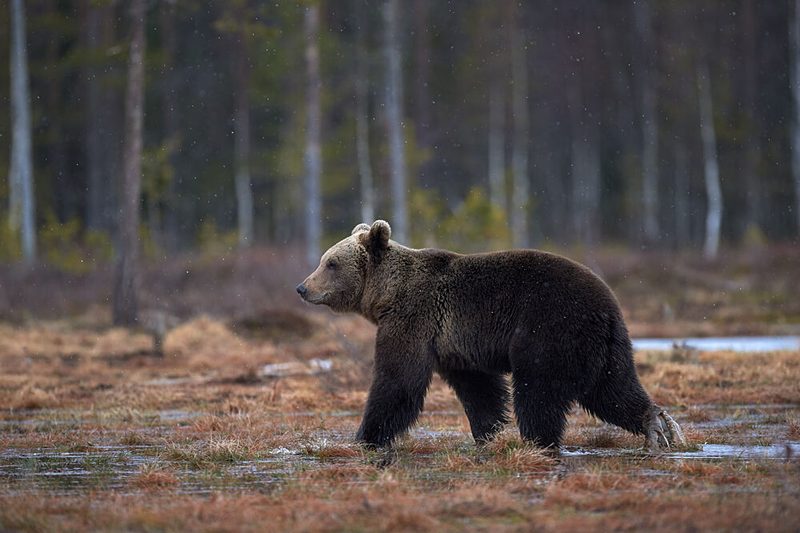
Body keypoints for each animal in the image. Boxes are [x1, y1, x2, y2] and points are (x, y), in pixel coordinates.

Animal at [296, 220, 685, 451]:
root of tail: (607, 305)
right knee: (612, 388)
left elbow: (398, 380)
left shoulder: (413, 319)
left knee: (539, 390)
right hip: (607, 346)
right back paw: (658, 425)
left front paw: (366, 436)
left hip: (550, 328)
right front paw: (487, 431)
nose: (302, 287)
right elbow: (478, 387)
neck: (386, 296)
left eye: (330, 263)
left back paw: (538, 441)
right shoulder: (453, 340)